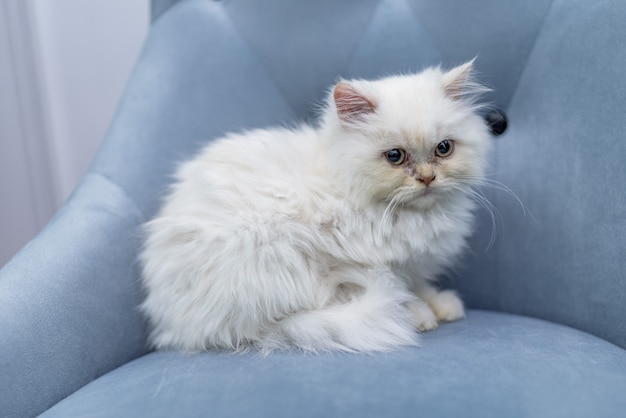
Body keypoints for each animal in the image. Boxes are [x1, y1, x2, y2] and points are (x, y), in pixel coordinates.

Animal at [141, 59, 492, 352]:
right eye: (395, 156)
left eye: (443, 149)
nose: (427, 178)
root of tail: (182, 327)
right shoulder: (359, 262)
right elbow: (397, 291)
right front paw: (420, 314)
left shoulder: (413, 264)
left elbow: (419, 284)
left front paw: (441, 305)